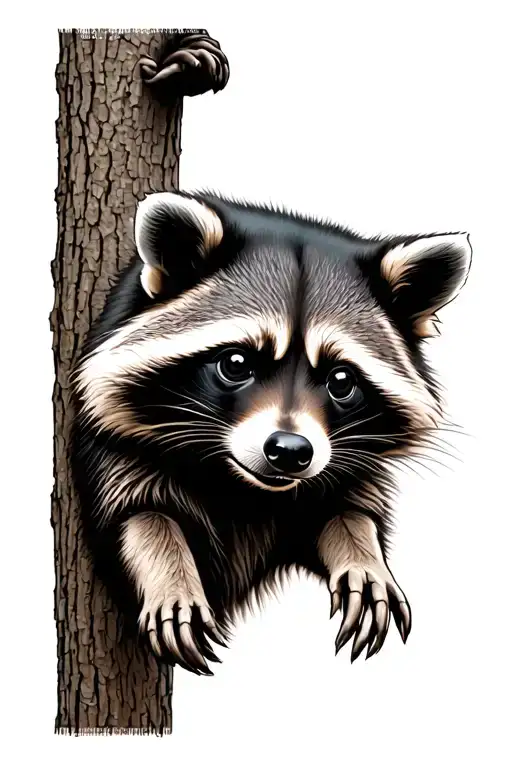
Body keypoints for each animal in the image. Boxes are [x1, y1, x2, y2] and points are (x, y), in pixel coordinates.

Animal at [71, 190, 471, 676]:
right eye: (236, 363)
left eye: (341, 380)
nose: (290, 451)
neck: (244, 488)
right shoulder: (112, 438)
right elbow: (138, 511)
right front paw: (167, 567)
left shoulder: (346, 458)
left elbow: (346, 510)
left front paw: (362, 553)